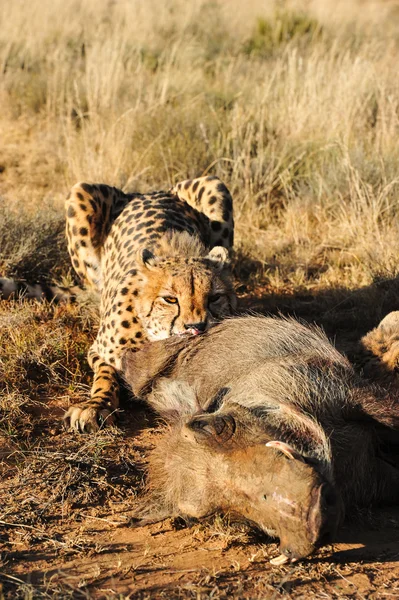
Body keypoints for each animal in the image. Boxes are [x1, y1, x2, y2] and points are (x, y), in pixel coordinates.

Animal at [63, 176, 236, 434]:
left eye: (214, 297)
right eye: (170, 299)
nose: (196, 327)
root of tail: (145, 192)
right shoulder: (99, 351)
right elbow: (105, 375)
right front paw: (95, 406)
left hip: (214, 185)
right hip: (80, 193)